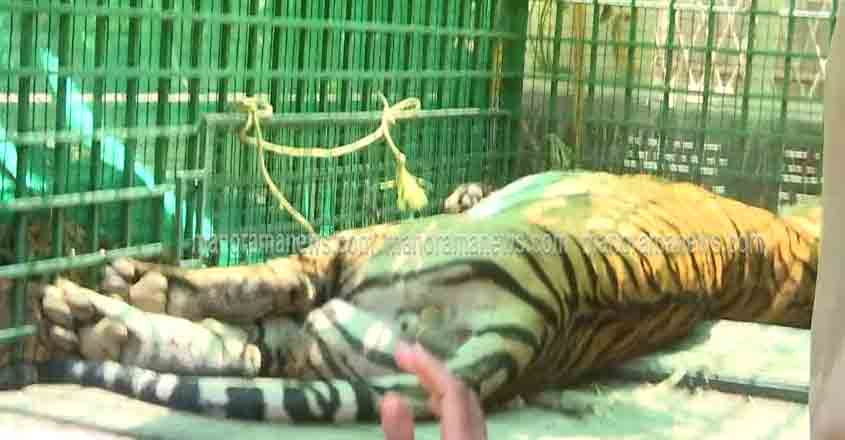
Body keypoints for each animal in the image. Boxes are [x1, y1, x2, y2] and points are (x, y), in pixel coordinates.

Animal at [0, 169, 820, 424]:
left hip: (369, 247)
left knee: (271, 285)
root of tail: (537, 325)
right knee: (239, 347)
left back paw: (120, 288)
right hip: (330, 344)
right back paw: (84, 321)